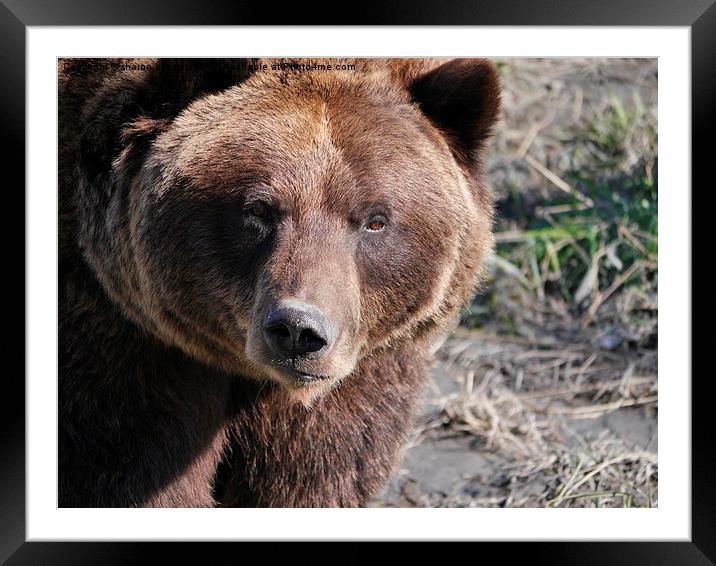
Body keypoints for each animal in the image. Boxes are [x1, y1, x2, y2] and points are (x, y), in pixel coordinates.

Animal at [58, 58, 500, 510]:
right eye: (259, 209)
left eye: (376, 220)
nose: (298, 331)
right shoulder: (119, 347)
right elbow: (132, 471)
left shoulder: (355, 374)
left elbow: (310, 473)